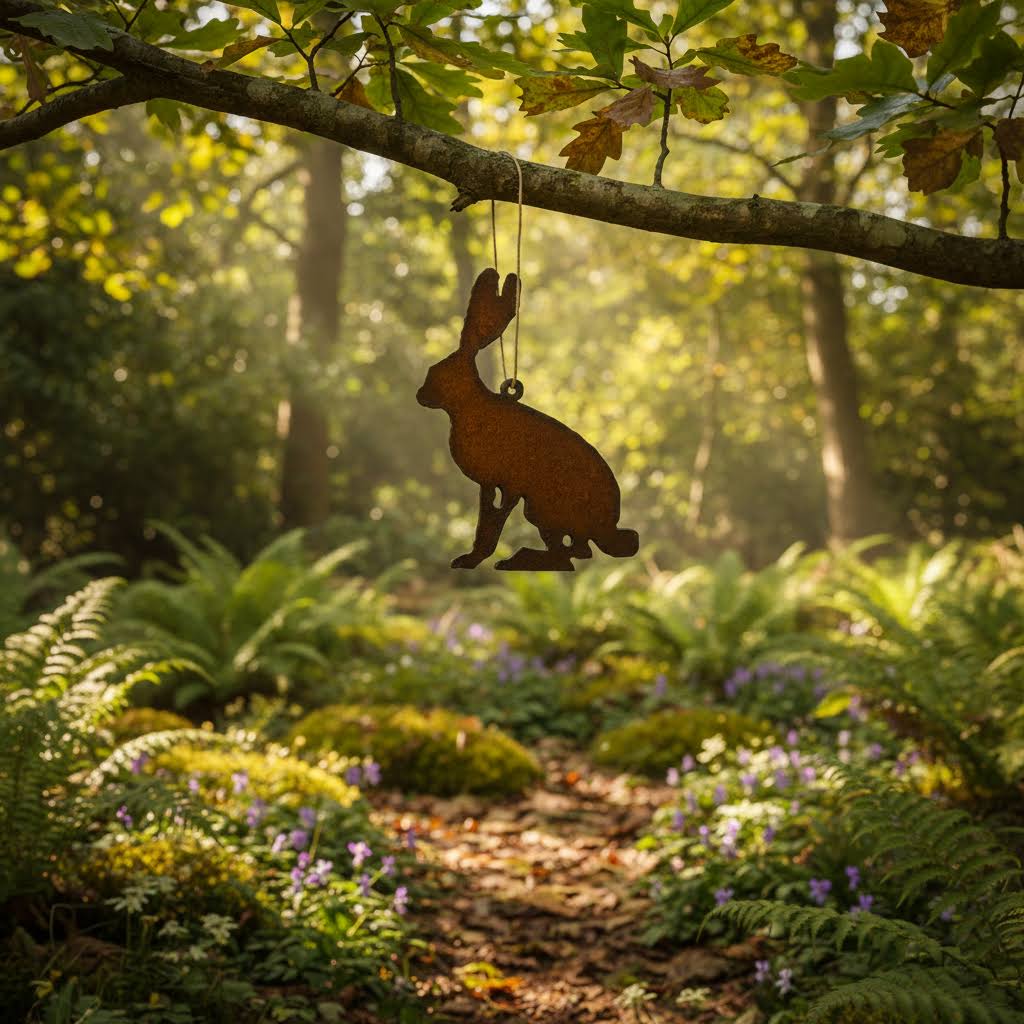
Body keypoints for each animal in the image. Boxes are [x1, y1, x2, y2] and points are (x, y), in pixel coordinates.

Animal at [417, 267, 639, 571]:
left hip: (541, 508)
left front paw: (473, 559)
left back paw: (519, 559)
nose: (419, 395)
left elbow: (492, 522)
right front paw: (470, 558)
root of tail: (607, 530)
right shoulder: (491, 485)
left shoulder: (506, 486)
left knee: (572, 554)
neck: (470, 405)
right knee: (578, 552)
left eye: (436, 372)